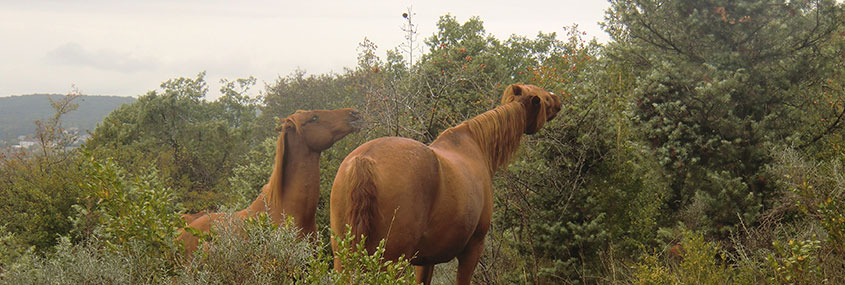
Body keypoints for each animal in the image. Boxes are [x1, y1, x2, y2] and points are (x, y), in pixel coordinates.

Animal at [330, 83, 560, 282]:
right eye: (545, 98)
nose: (558, 99)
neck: (476, 146)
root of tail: (364, 159)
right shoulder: (473, 248)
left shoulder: (424, 260)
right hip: (391, 262)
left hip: (343, 258)